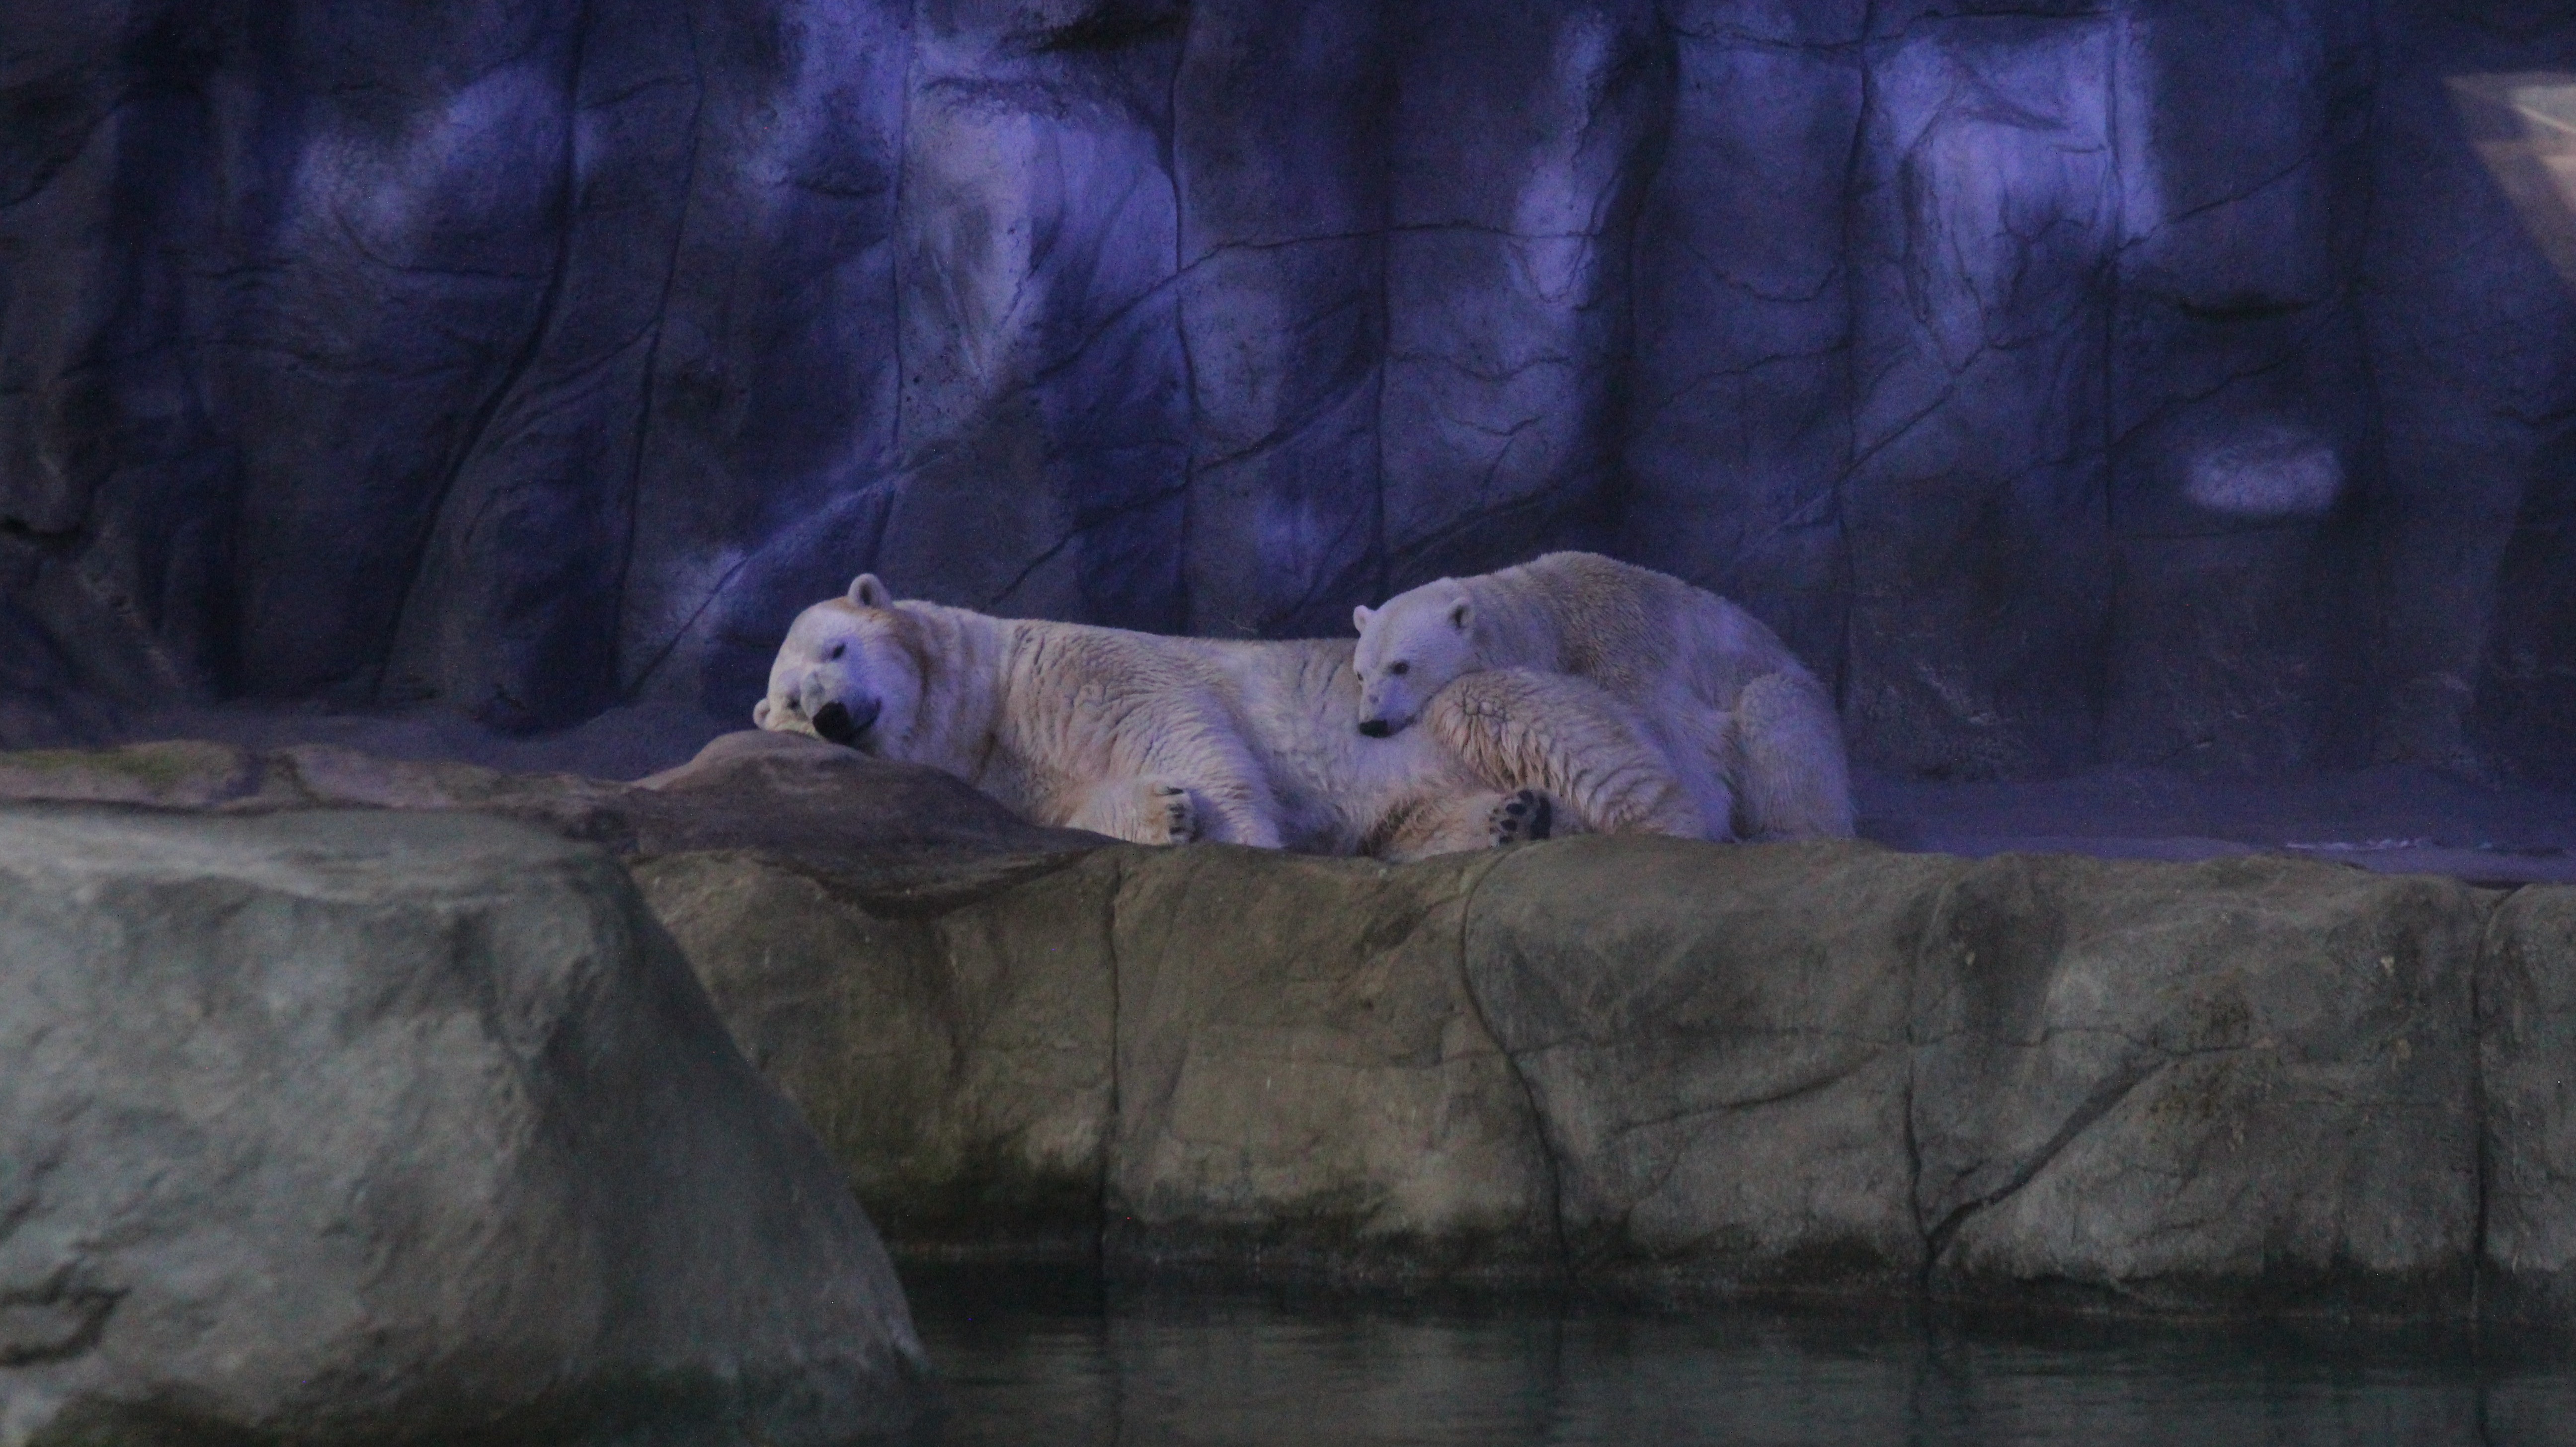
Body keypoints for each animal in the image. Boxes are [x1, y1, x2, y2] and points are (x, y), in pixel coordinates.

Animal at [752, 574, 1705, 862]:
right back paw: (1515, 818)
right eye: (790, 704)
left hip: (1448, 708)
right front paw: (1163, 811)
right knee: (1420, 823)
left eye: (836, 648)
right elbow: (1074, 806)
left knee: (1541, 728)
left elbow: (1179, 722)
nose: (832, 715)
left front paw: (1237, 838)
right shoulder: (1006, 776)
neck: (991, 696)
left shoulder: (1075, 665)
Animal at [1351, 551, 1855, 841]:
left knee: (1775, 719)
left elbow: (1687, 765)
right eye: (1361, 674)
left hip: (1784, 693)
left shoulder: (1626, 662)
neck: (1551, 619)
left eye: (1402, 666)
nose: (1371, 724)